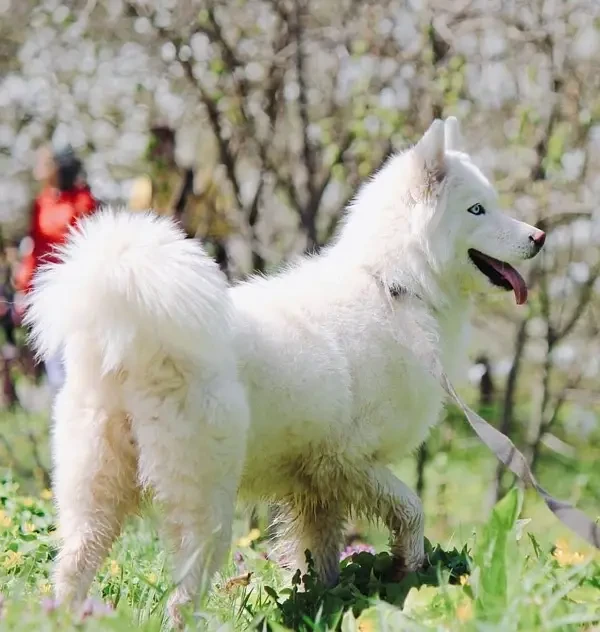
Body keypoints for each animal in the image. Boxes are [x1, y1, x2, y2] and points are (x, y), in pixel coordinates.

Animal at [27, 118, 544, 624]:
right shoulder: (351, 460)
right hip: (206, 505)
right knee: (181, 597)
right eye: (477, 209)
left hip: (93, 496)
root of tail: (134, 336)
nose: (539, 237)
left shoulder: (318, 485)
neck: (396, 286)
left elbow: (322, 558)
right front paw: (410, 569)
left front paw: (327, 602)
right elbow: (412, 509)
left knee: (72, 570)